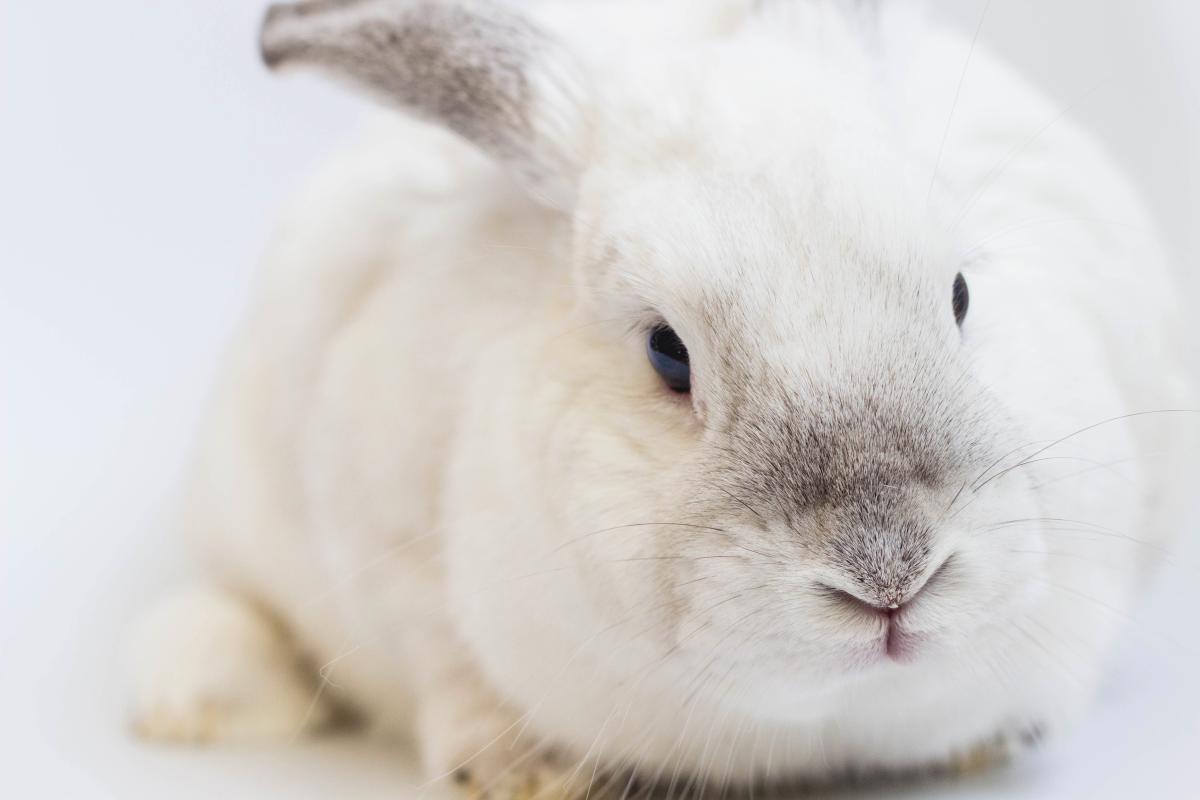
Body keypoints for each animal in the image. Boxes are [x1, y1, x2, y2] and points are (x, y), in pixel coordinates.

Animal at [129, 0, 1196, 795]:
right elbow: (445, 666)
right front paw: (525, 771)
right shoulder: (385, 545)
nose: (891, 573)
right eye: (667, 354)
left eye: (963, 294)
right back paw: (189, 703)